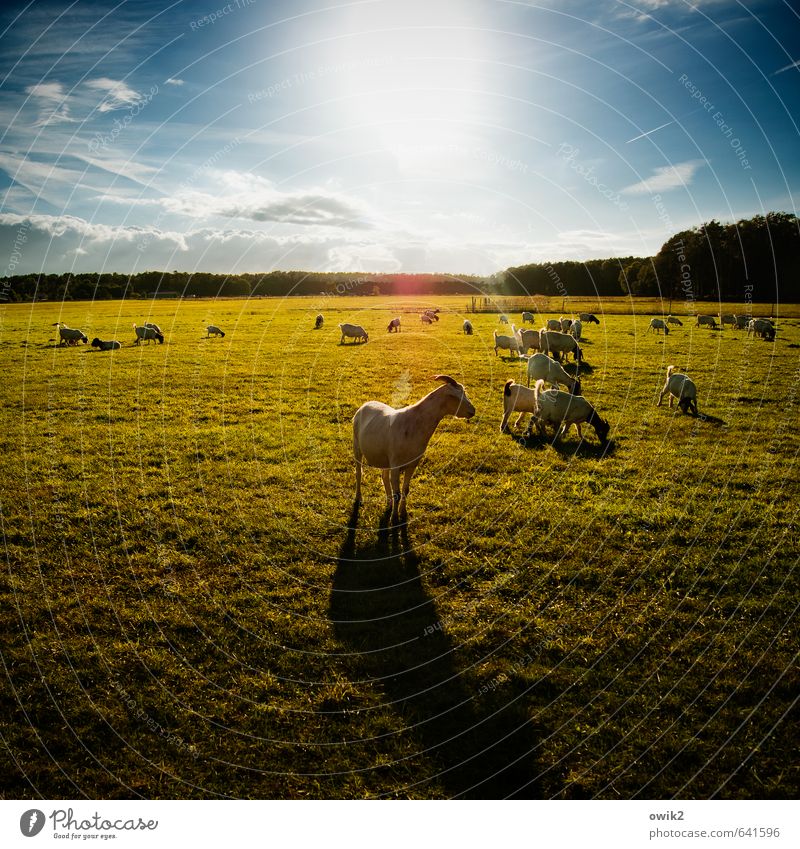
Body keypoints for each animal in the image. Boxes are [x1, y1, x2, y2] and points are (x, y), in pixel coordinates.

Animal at [352, 376, 476, 520]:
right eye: (454, 396)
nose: (473, 411)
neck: (415, 424)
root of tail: (365, 405)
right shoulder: (396, 464)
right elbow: (397, 493)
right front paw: (394, 517)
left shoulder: (412, 464)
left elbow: (405, 490)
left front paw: (403, 513)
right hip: (357, 447)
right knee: (359, 473)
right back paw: (359, 498)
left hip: (385, 458)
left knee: (384, 476)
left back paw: (389, 504)